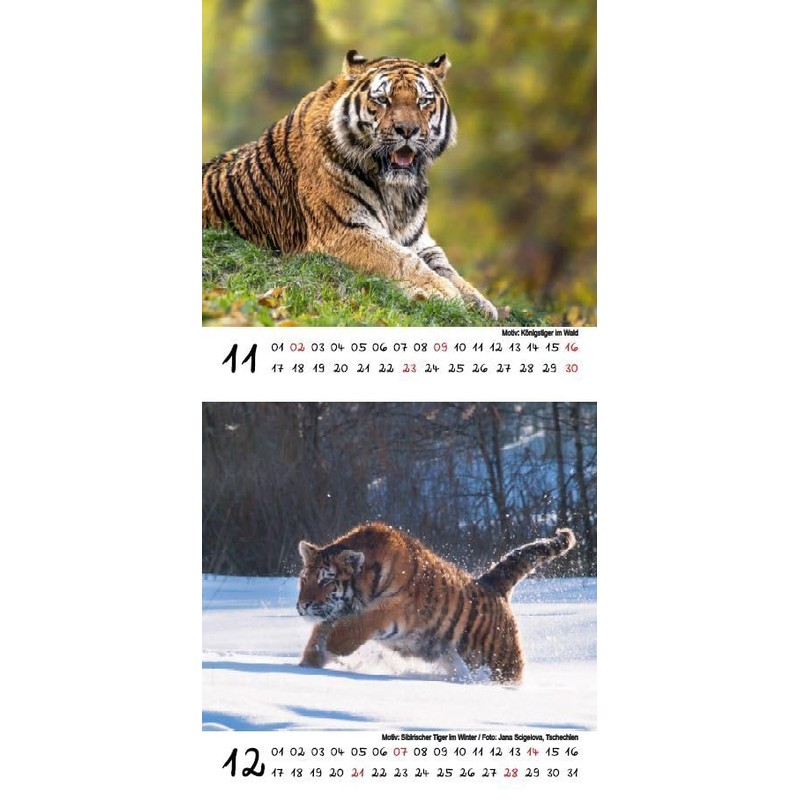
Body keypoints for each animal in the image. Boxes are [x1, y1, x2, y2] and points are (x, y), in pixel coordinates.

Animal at [202, 50, 498, 320]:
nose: (407, 130)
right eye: (383, 99)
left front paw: (481, 303)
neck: (396, 191)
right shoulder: (346, 230)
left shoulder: (420, 242)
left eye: (423, 101)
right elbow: (401, 260)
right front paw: (444, 293)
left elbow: (449, 269)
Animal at [296, 521, 576, 683]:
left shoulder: (393, 609)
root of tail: (492, 584)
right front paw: (308, 665)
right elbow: (317, 633)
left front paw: (334, 646)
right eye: (304, 579)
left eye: (325, 581)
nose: (303, 605)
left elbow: (360, 622)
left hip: (503, 663)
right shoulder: (333, 613)